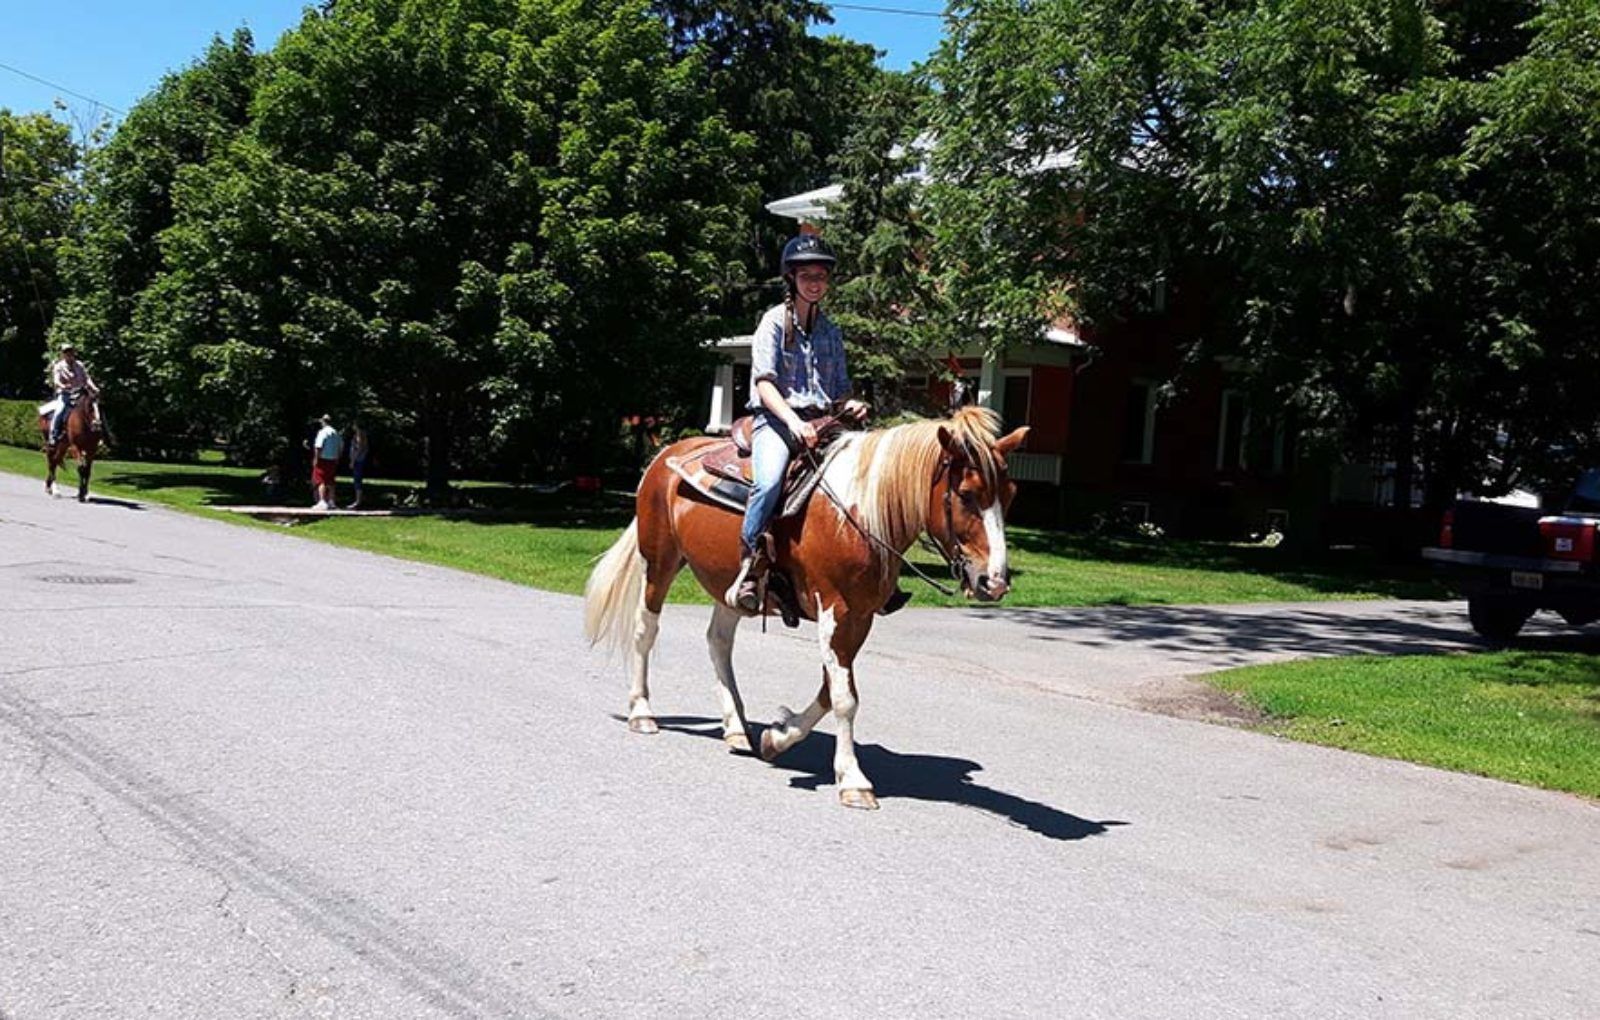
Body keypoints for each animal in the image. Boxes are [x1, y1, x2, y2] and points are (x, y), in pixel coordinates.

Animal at [584, 405, 1029, 810]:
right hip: (659, 561)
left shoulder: (859, 618)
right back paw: (642, 712)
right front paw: (853, 780)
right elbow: (845, 697)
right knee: (646, 630)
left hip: (729, 584)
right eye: (967, 495)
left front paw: (777, 736)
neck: (859, 512)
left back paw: (736, 728)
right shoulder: (835, 610)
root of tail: (664, 457)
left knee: (719, 641)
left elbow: (831, 691)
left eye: (1010, 496)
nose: (994, 581)